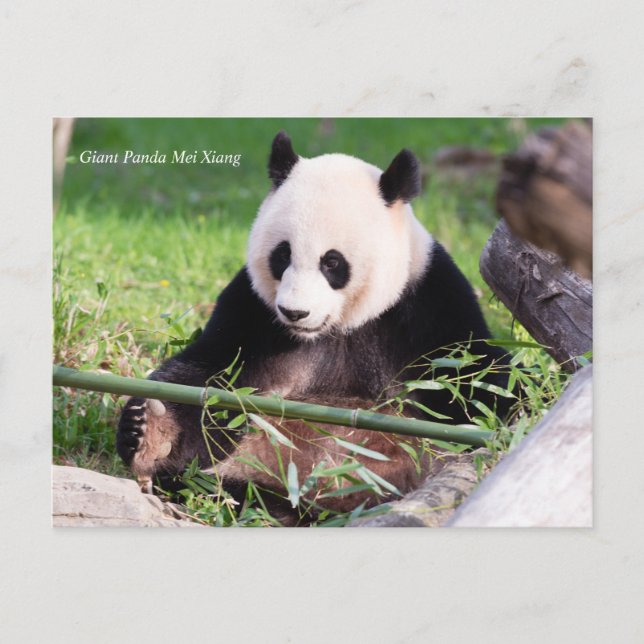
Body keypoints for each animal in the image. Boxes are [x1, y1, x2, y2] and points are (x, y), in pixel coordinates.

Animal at [116, 131, 514, 523]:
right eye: (282, 255)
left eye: (332, 263)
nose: (294, 312)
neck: (337, 327)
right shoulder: (252, 312)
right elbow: (209, 377)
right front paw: (150, 434)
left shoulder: (426, 306)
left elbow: (478, 379)